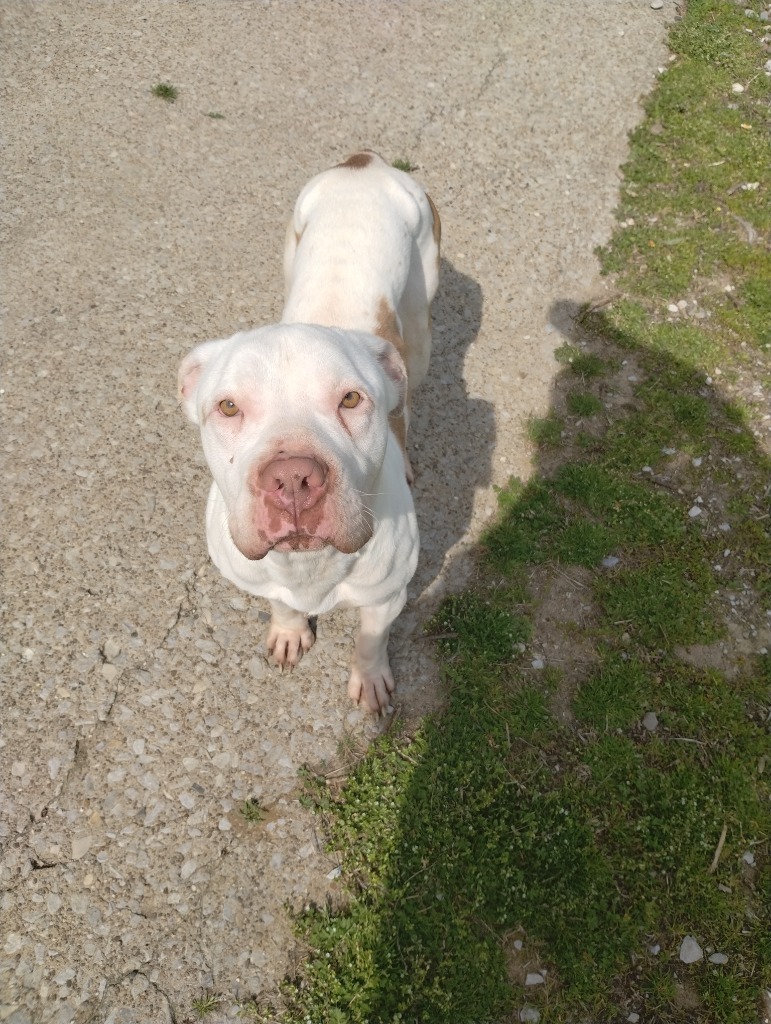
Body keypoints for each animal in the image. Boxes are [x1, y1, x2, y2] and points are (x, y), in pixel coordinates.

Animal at [177, 153, 436, 712]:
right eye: (228, 407)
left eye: (351, 399)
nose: (293, 479)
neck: (309, 566)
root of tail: (363, 161)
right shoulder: (262, 579)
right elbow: (281, 603)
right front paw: (290, 629)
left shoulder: (387, 597)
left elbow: (371, 638)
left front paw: (369, 678)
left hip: (421, 325)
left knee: (410, 400)